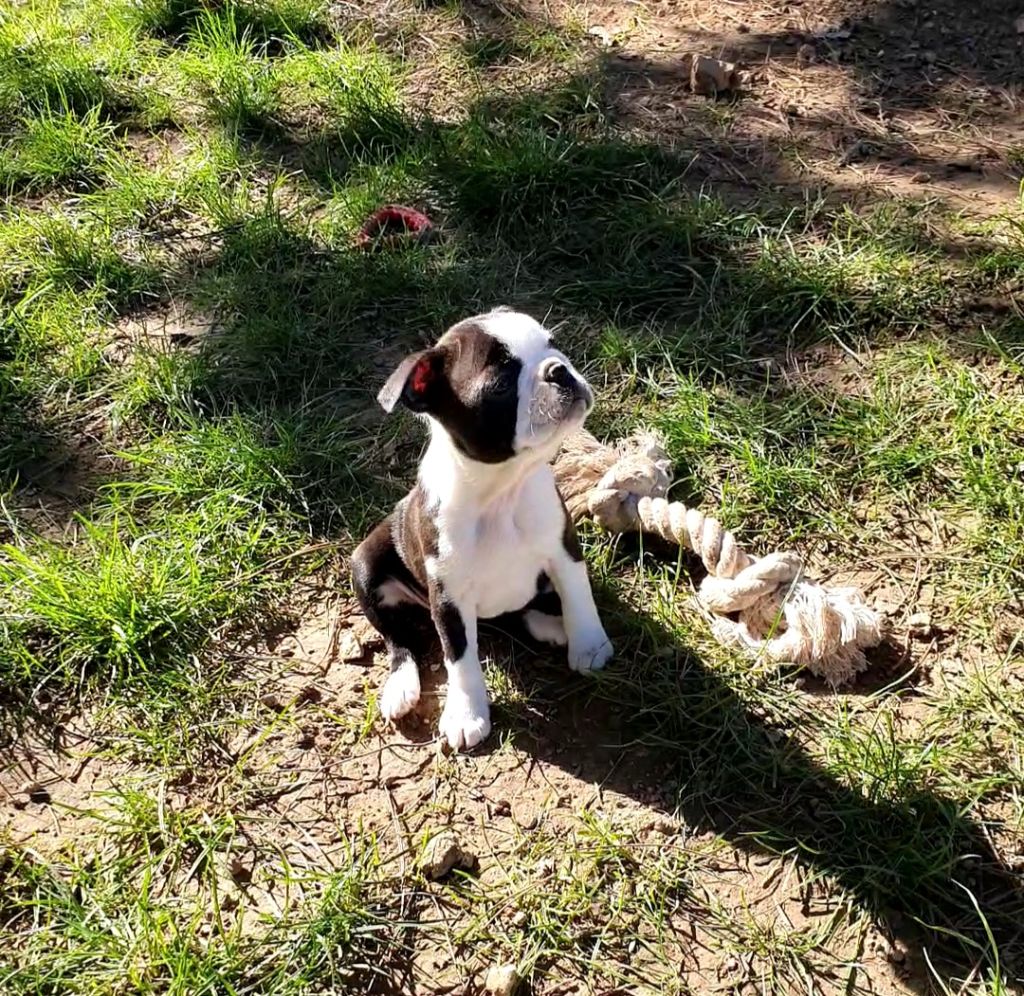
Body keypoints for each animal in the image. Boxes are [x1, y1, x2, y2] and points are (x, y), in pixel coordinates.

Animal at [351, 308, 613, 751]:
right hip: (365, 564)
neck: (501, 489)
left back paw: (551, 625)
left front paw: (590, 647)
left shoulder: (563, 551)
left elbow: (580, 601)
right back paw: (400, 687)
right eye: (502, 383)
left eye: (553, 344)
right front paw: (465, 713)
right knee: (398, 640)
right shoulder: (448, 597)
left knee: (520, 612)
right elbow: (459, 658)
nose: (559, 370)